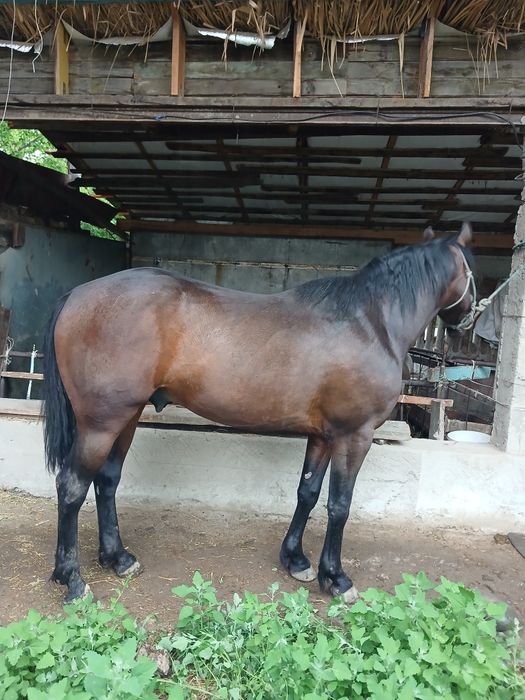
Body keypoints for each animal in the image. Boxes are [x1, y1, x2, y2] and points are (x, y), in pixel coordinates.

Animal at [42, 223, 476, 603]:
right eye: (471, 271)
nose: (470, 322)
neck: (370, 322)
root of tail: (76, 296)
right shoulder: (355, 436)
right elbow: (339, 506)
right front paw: (335, 578)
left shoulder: (323, 435)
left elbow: (307, 493)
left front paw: (296, 560)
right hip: (101, 424)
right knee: (72, 487)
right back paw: (72, 580)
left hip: (127, 418)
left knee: (107, 481)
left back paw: (117, 559)